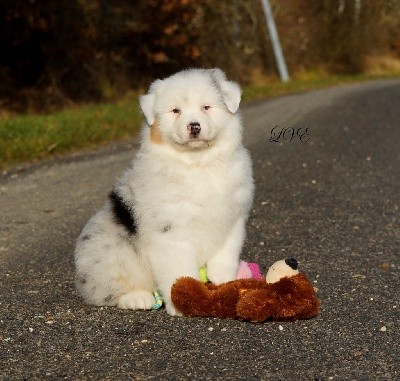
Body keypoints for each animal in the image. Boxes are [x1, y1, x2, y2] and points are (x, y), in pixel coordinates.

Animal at [74, 69, 255, 314]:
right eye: (176, 111)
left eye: (206, 107)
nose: (194, 126)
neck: (196, 162)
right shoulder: (171, 232)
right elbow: (179, 268)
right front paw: (183, 301)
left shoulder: (232, 220)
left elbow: (224, 257)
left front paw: (226, 283)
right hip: (110, 254)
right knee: (104, 292)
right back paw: (137, 298)